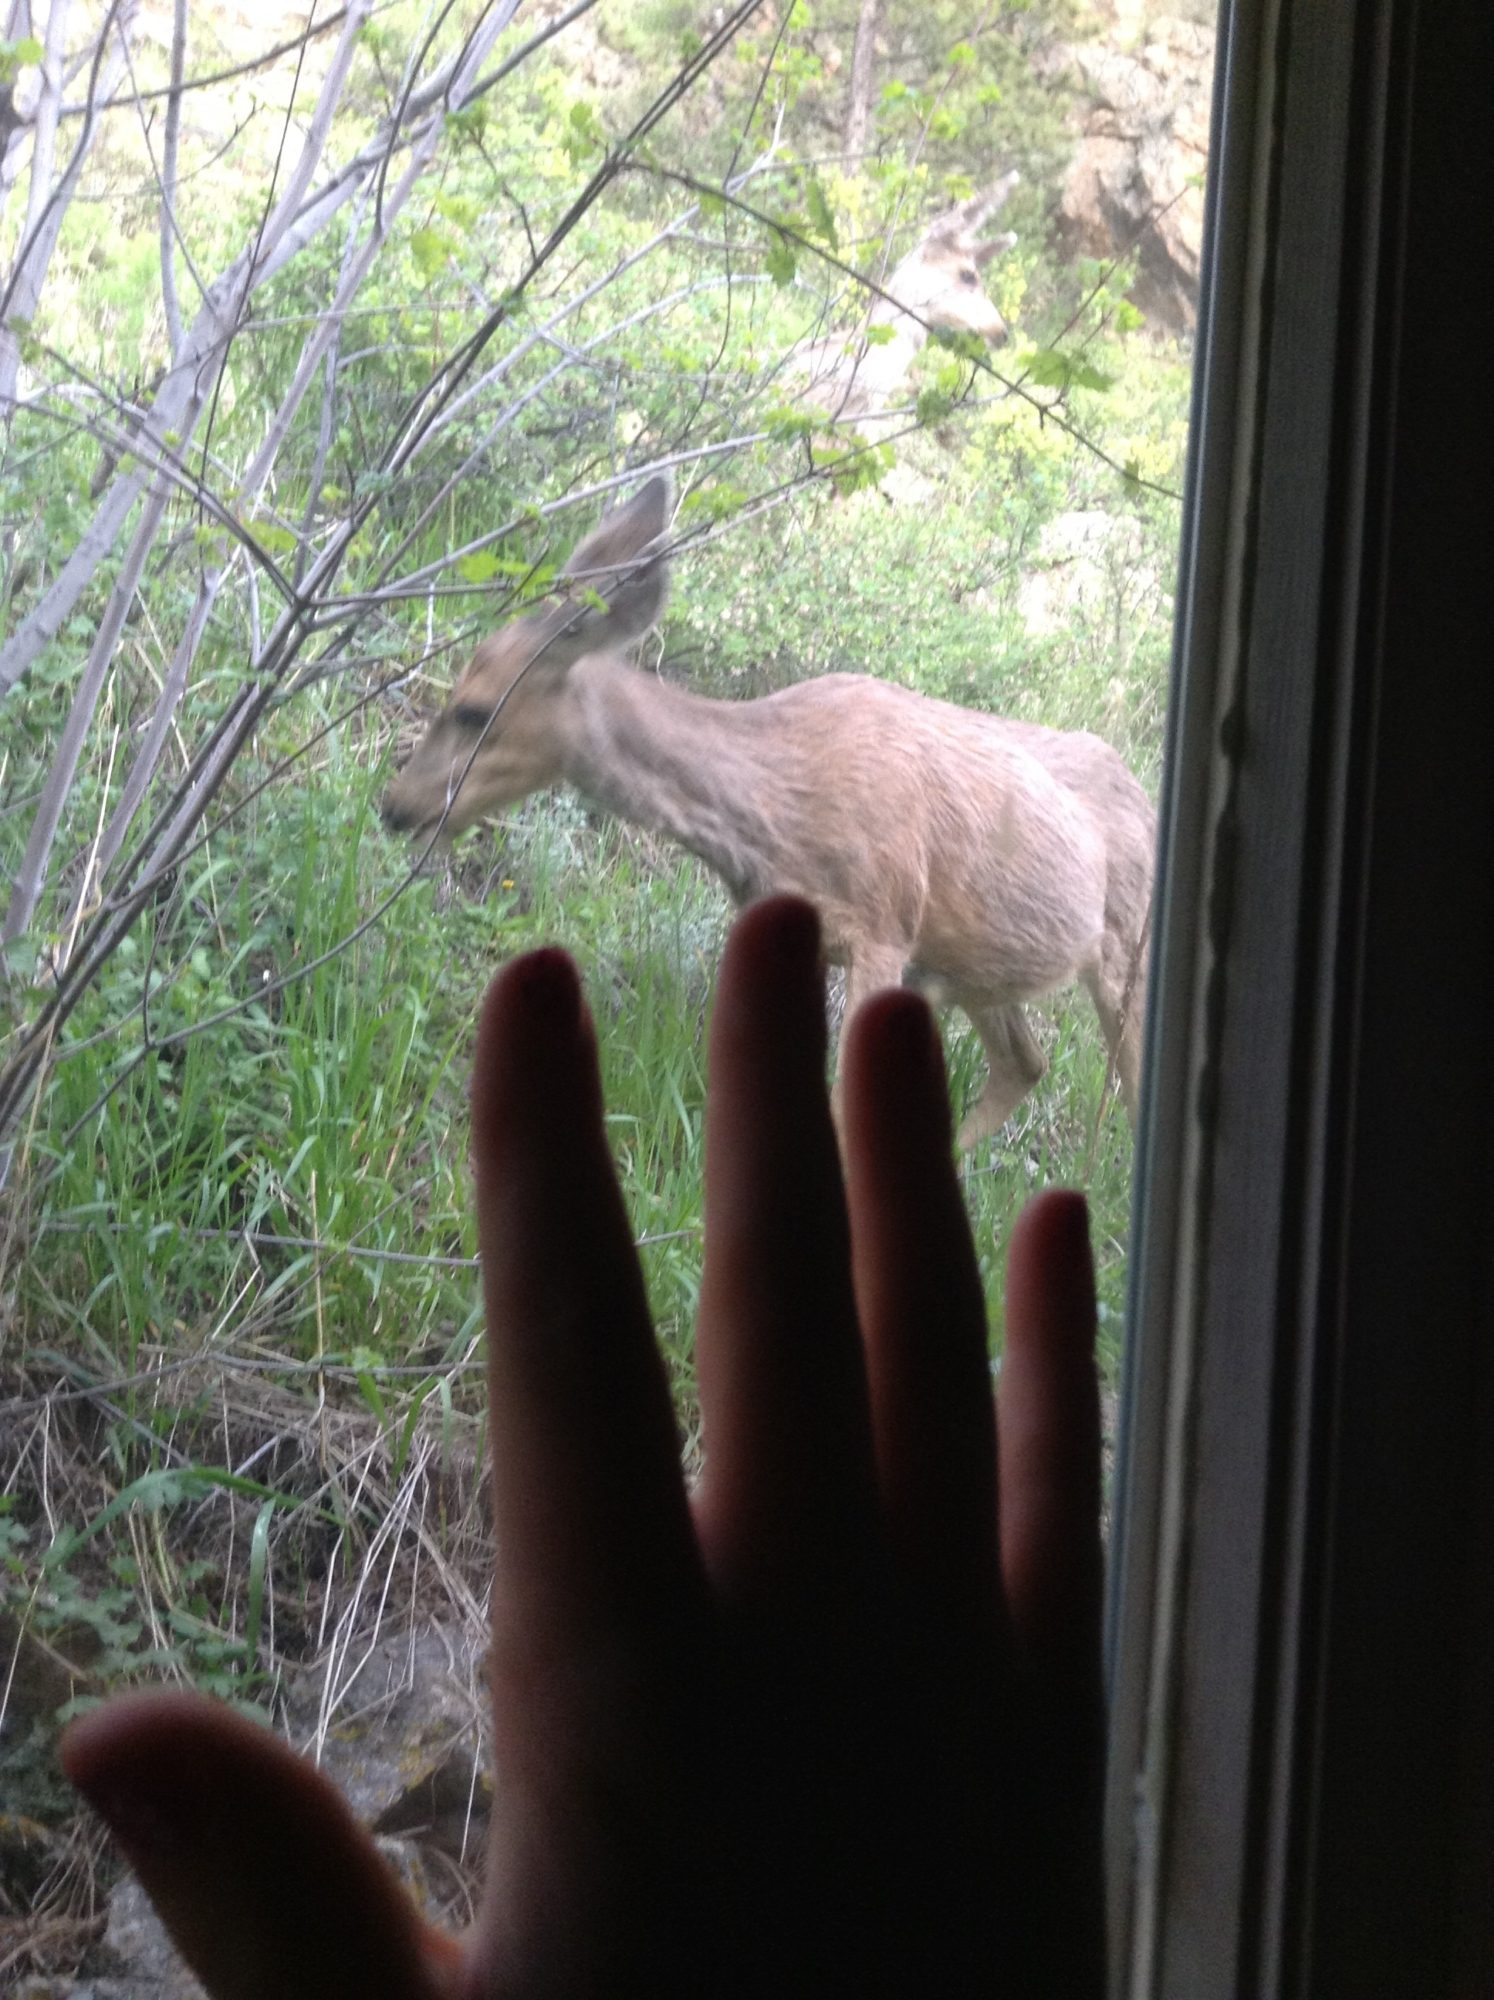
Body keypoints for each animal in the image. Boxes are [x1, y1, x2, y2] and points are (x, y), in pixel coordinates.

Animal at [382, 475, 1155, 1148]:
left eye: (473, 710)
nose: (396, 807)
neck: (779, 801)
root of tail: (1141, 789)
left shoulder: (884, 923)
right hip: (971, 964)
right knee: (1025, 1063)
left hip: (1122, 945)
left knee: (1124, 1076)